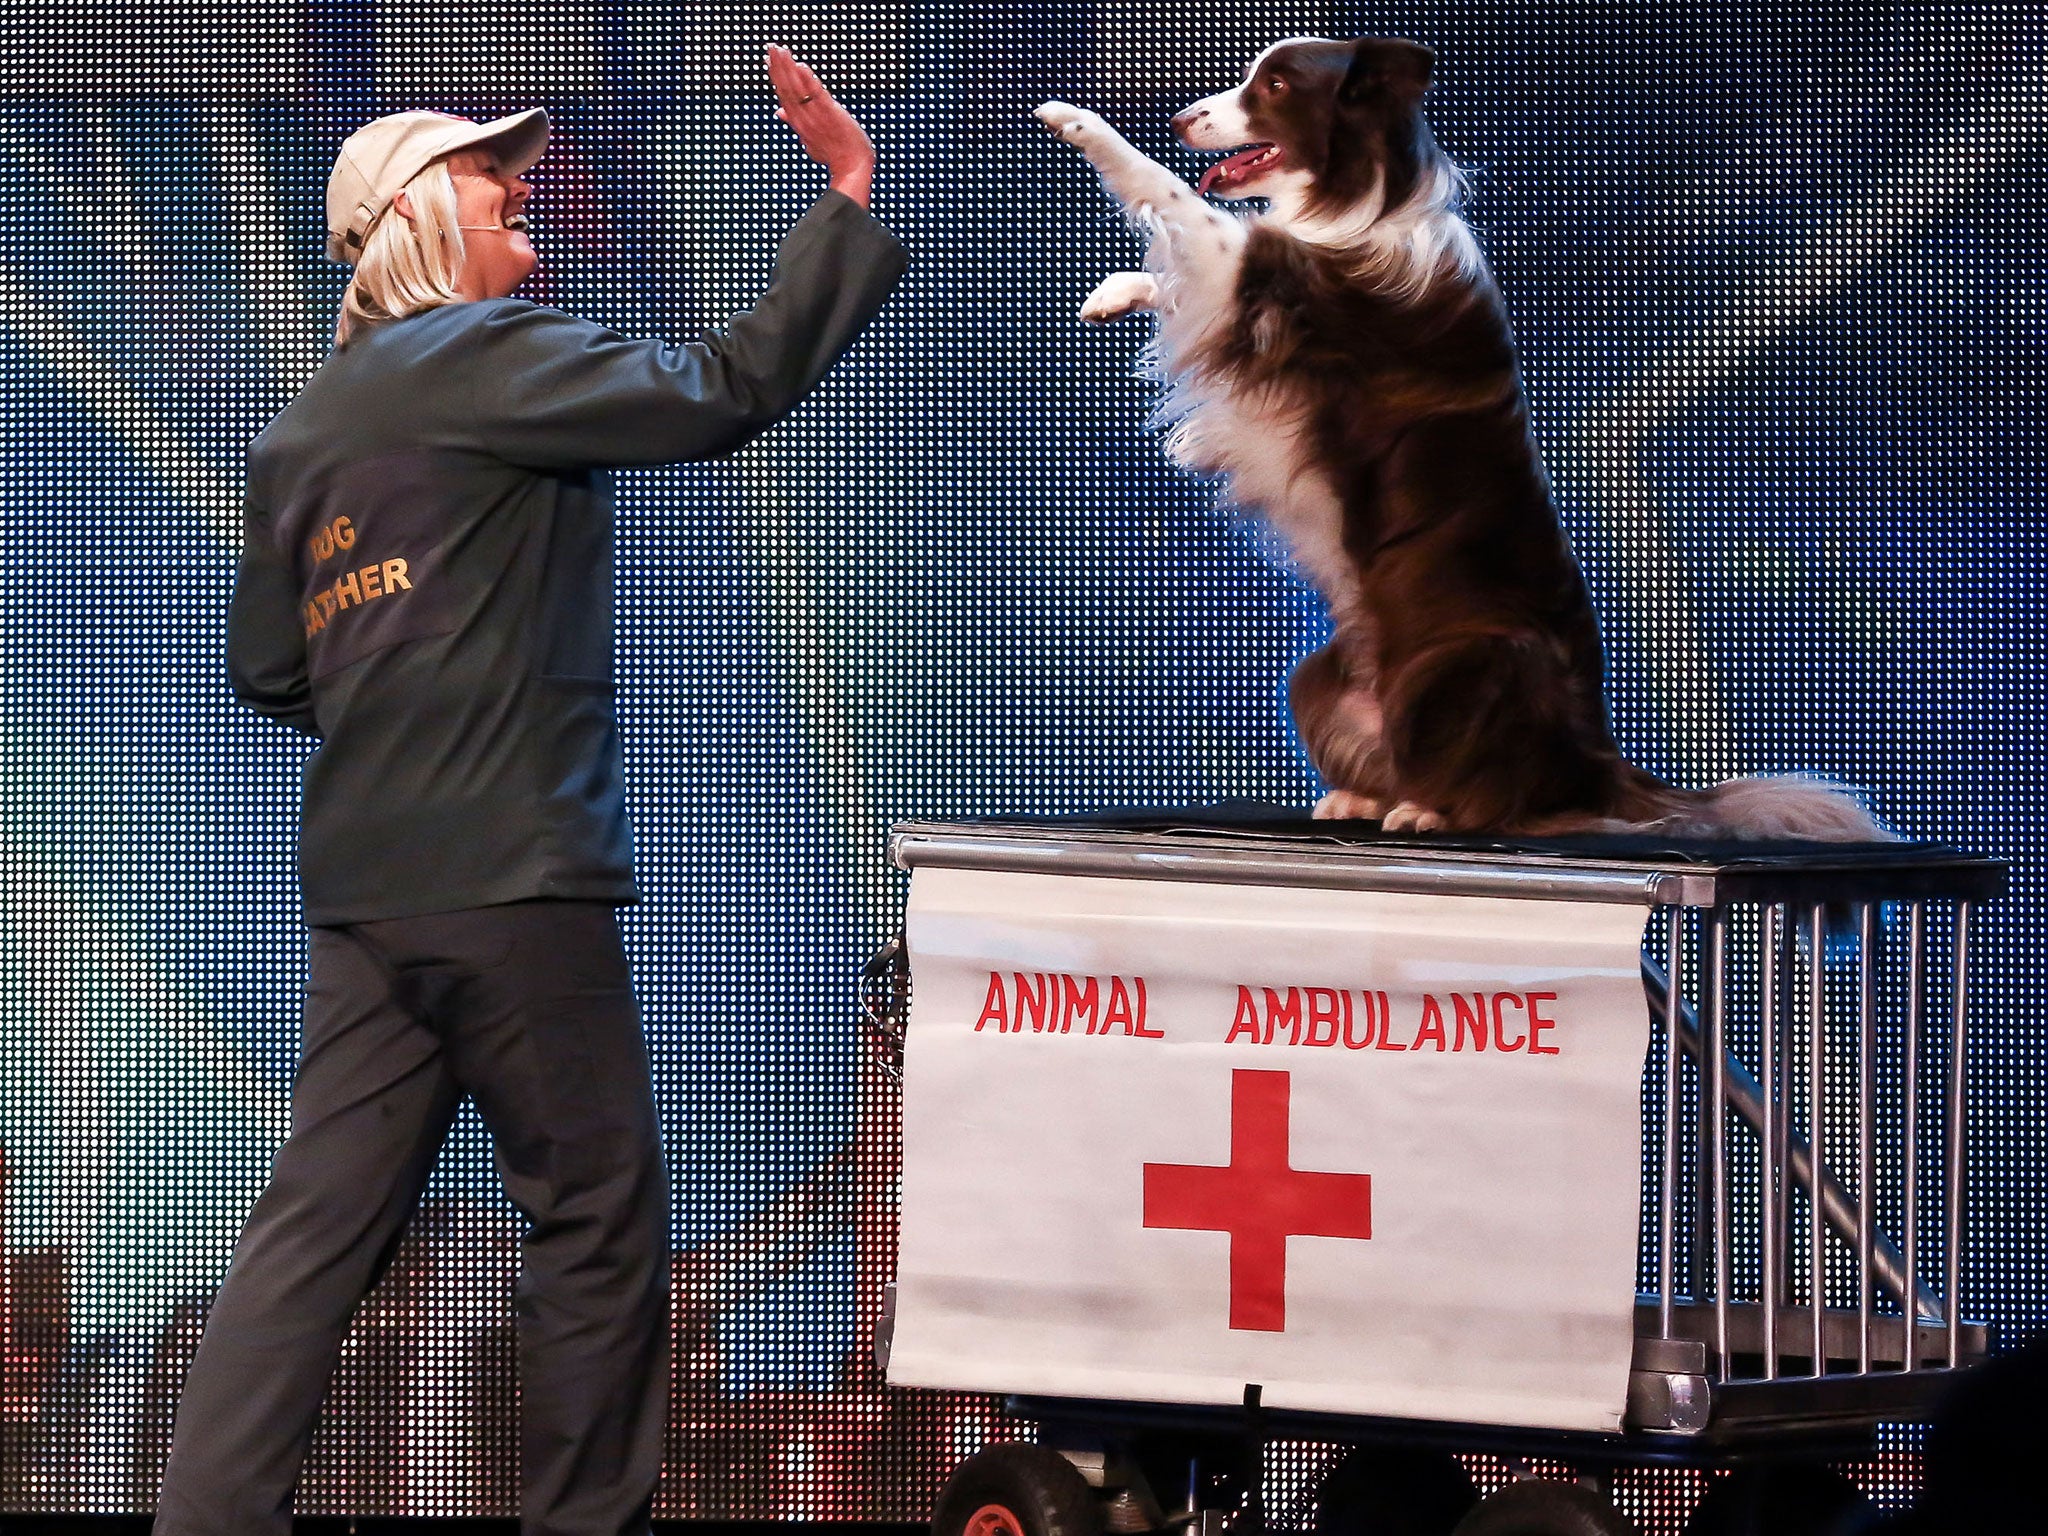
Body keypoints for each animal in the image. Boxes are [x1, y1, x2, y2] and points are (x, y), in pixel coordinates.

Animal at [1040, 36, 1884, 835]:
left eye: (1274, 85)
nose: (1181, 118)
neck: (1362, 195)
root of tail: (1601, 764)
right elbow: (1179, 256)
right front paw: (1113, 292)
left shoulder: (1278, 284)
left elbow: (1179, 202)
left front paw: (1080, 122)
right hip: (1319, 672)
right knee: (1397, 760)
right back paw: (1362, 797)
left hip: (1475, 662)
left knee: (1503, 800)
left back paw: (1433, 811)